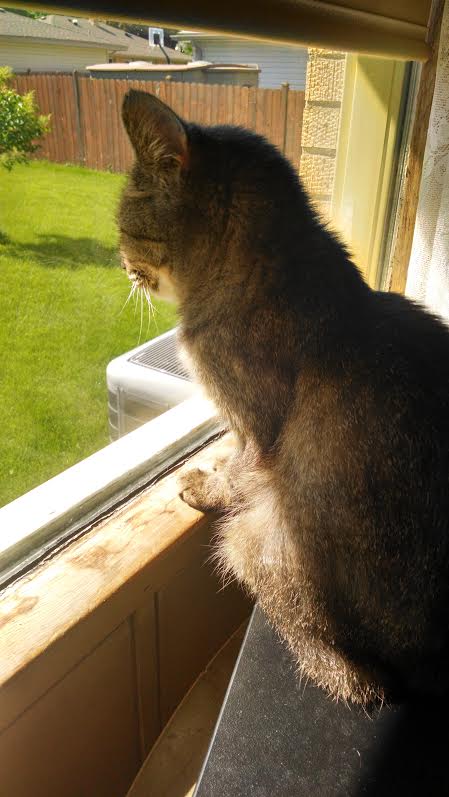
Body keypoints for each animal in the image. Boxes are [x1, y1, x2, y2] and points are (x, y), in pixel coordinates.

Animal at [117, 90, 448, 704]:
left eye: (124, 225)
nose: (123, 264)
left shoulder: (255, 424)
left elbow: (234, 469)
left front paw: (207, 485)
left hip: (251, 541)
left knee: (347, 672)